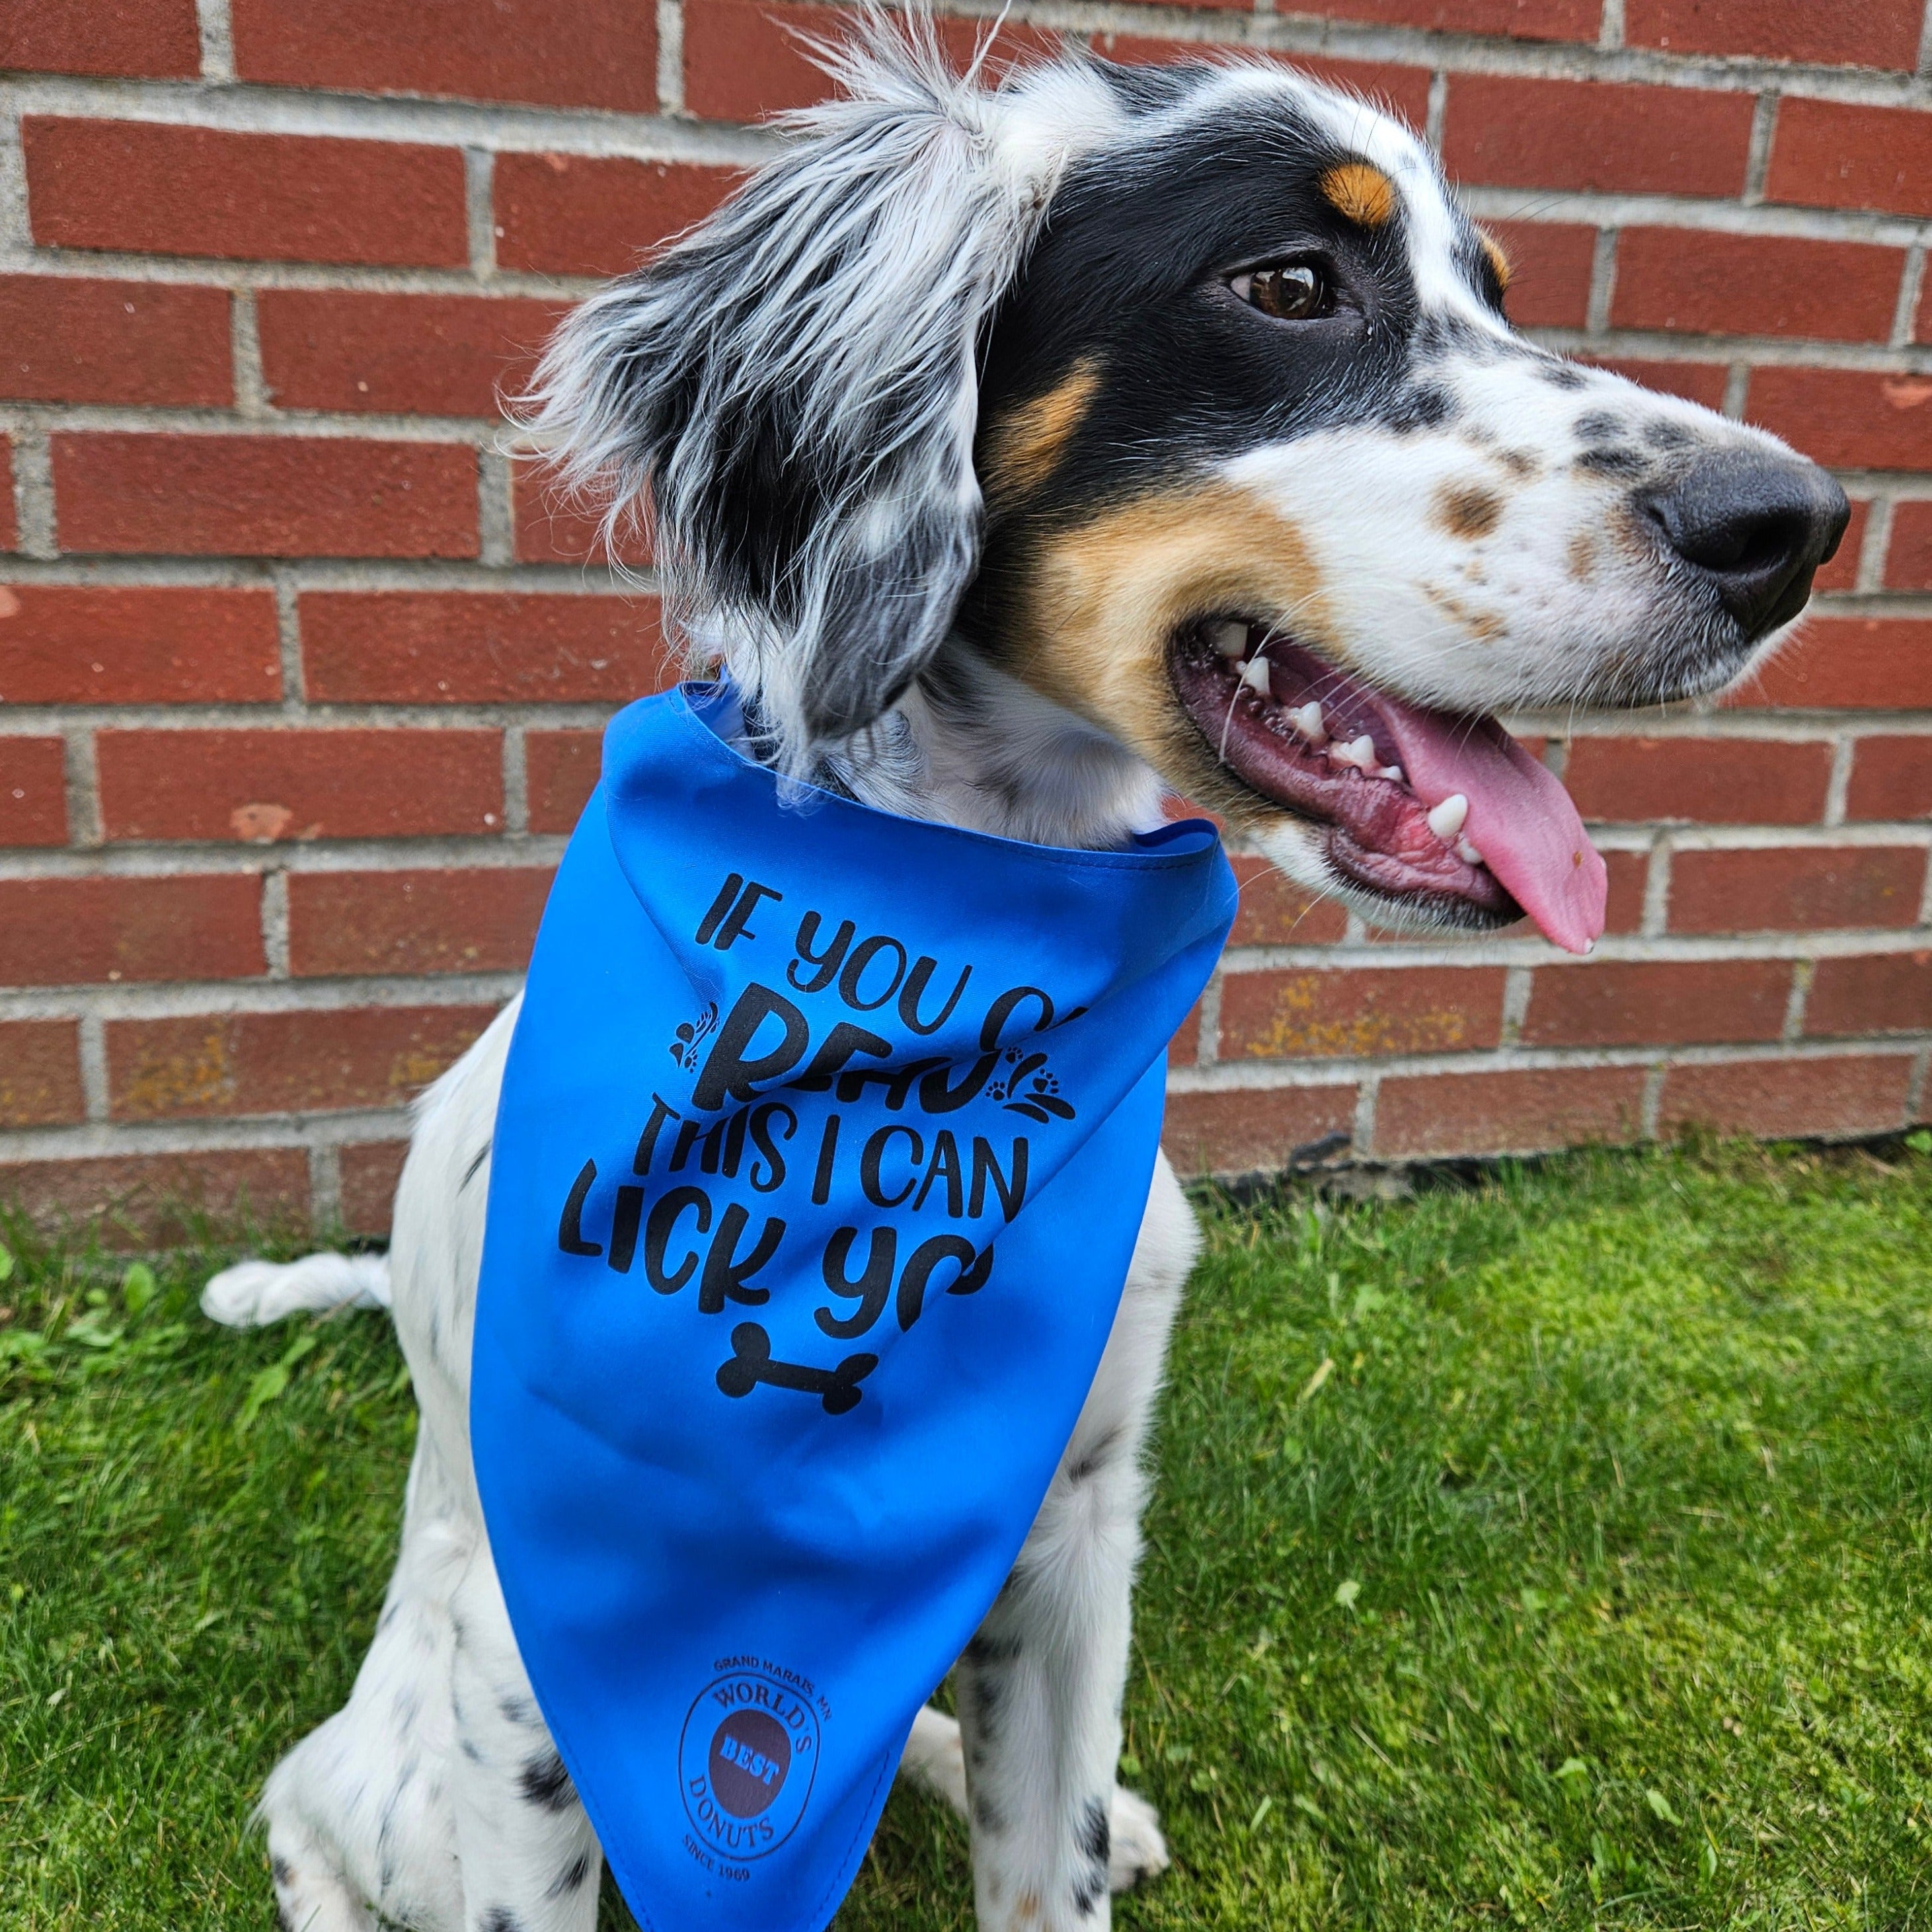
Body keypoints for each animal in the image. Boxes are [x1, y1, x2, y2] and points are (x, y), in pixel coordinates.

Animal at [204, 19, 1847, 1932]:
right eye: (1289, 283)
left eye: (1492, 290)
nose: (1795, 523)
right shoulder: (519, 1638)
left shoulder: (1073, 1538)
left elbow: (1039, 1852)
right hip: (387, 1761)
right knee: (306, 1815)